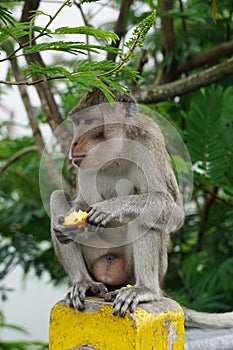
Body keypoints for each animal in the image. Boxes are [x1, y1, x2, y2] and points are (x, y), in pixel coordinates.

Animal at [51, 88, 233, 328]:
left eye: (88, 121)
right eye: (76, 123)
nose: (73, 144)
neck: (116, 153)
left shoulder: (149, 144)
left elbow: (174, 212)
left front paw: (112, 207)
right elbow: (80, 204)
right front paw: (72, 226)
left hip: (142, 271)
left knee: (147, 215)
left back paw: (145, 290)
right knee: (55, 196)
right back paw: (84, 283)